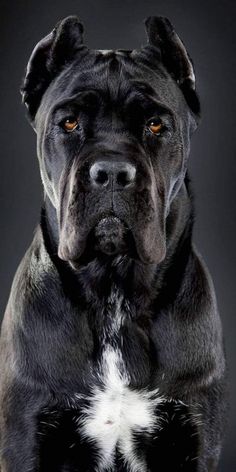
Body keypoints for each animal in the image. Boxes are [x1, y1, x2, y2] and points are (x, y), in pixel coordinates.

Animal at [0, 14, 227, 472]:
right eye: (69, 122)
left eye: (155, 124)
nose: (111, 173)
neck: (114, 294)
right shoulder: (26, 438)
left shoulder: (195, 434)